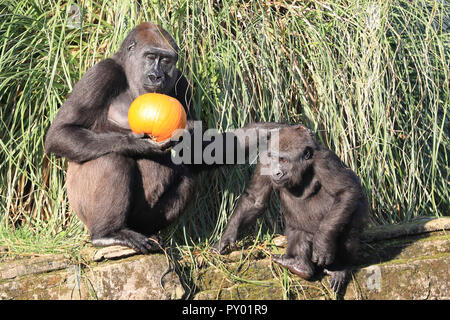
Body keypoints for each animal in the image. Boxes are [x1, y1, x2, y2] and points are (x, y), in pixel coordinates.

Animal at [215, 124, 370, 292]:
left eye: (283, 159)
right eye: (274, 159)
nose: (276, 171)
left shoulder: (325, 160)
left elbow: (346, 192)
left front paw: (322, 242)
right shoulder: (265, 161)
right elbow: (255, 199)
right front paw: (227, 237)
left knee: (351, 219)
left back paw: (340, 268)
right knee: (300, 231)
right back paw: (298, 265)